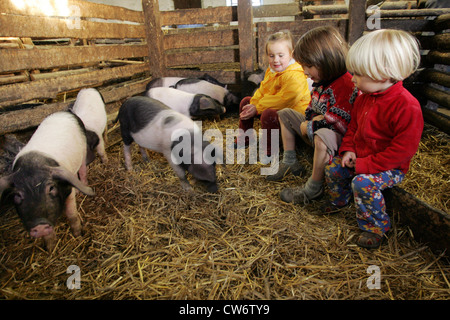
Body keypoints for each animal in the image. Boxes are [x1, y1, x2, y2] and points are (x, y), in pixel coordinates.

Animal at [0, 111, 94, 251]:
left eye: (51, 188)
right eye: (17, 195)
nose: (39, 225)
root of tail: (65, 112)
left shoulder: (67, 190)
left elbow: (71, 214)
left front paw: (78, 235)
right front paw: (50, 249)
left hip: (82, 149)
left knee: (82, 169)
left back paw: (82, 190)